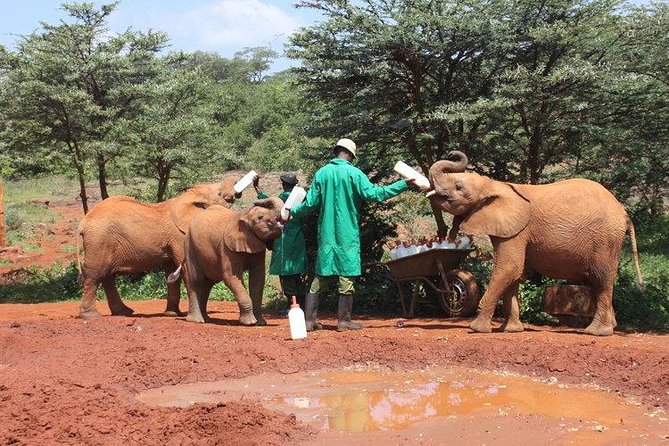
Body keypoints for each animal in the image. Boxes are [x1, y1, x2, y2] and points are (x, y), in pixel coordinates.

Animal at [77, 177, 241, 318]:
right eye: (219, 193)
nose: (237, 191)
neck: (188, 197)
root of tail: (83, 222)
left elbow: (171, 272)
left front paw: (173, 314)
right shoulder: (180, 235)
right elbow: (185, 269)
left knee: (108, 277)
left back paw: (124, 312)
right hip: (98, 241)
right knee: (95, 275)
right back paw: (91, 316)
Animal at [177, 197, 284, 326]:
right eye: (260, 217)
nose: (258, 201)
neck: (244, 214)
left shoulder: (257, 248)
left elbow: (257, 279)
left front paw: (261, 323)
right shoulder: (227, 248)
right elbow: (231, 277)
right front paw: (249, 323)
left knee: (207, 284)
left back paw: (207, 319)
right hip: (189, 246)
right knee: (196, 281)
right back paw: (197, 320)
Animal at [428, 151, 644, 336]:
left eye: (459, 187)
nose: (452, 153)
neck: (496, 185)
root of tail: (624, 213)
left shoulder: (518, 231)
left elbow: (508, 268)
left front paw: (477, 329)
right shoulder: (513, 231)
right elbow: (514, 274)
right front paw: (511, 330)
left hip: (605, 240)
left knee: (601, 279)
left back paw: (596, 332)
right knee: (595, 282)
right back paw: (610, 326)